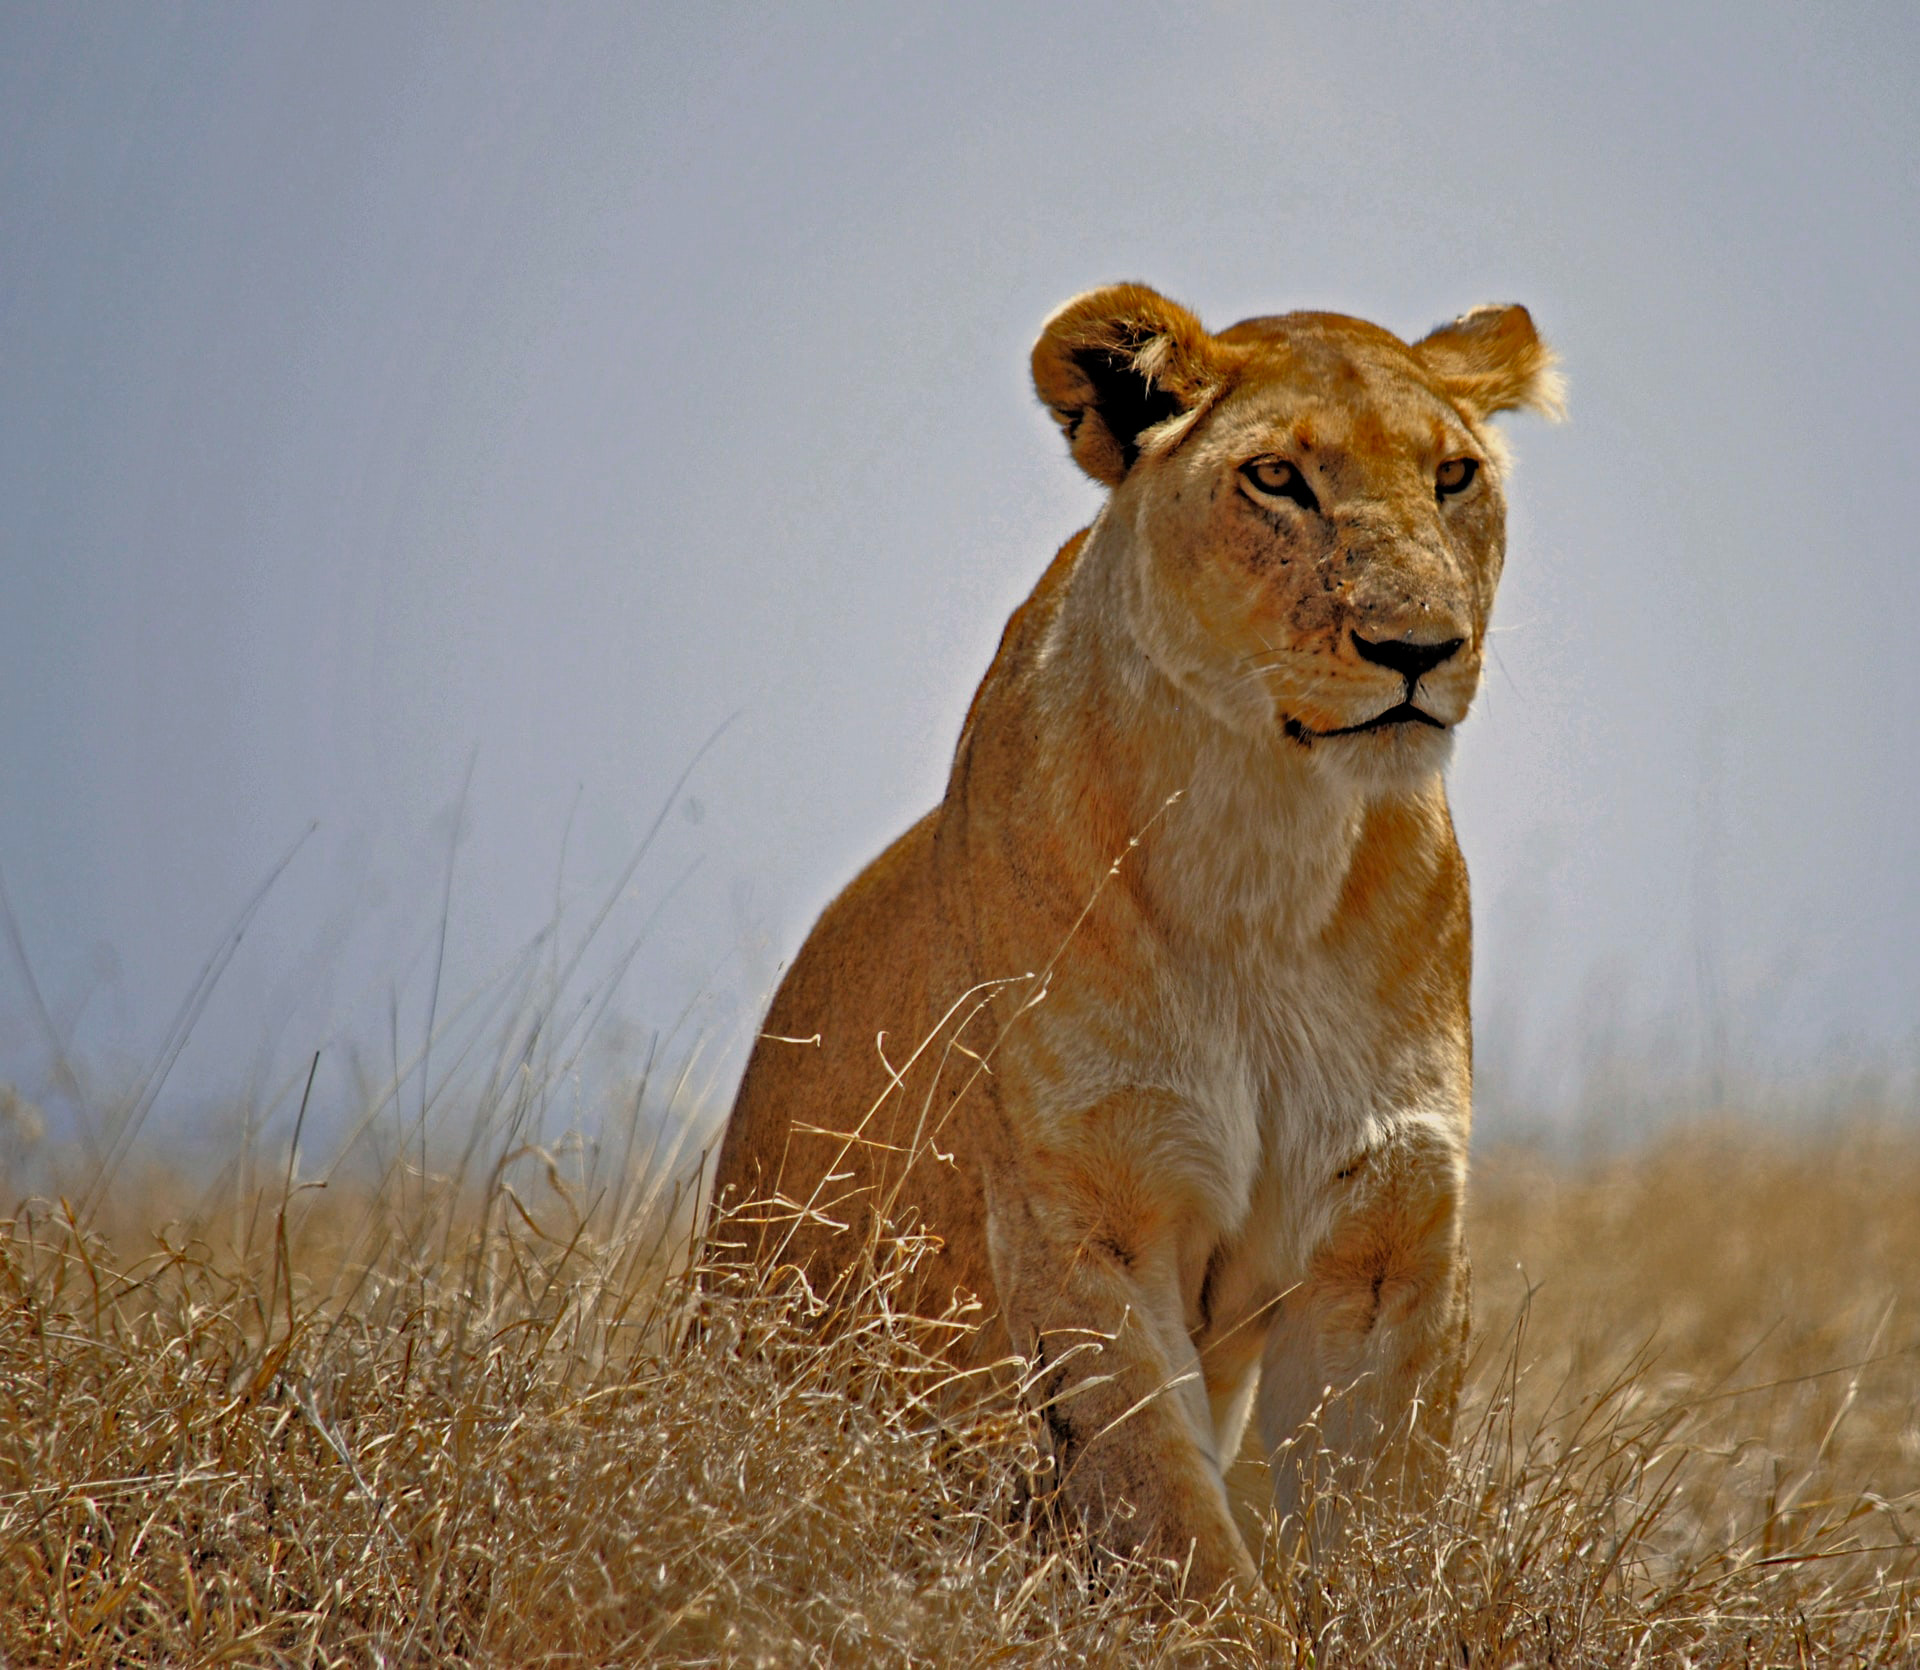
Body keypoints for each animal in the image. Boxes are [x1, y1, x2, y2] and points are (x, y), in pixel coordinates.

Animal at [706, 284, 1559, 1597]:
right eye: (1277, 478)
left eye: (1453, 475)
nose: (1419, 648)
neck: (1264, 841)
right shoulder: (1083, 1216)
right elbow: (1175, 1521)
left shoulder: (1386, 1228)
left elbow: (1380, 1526)